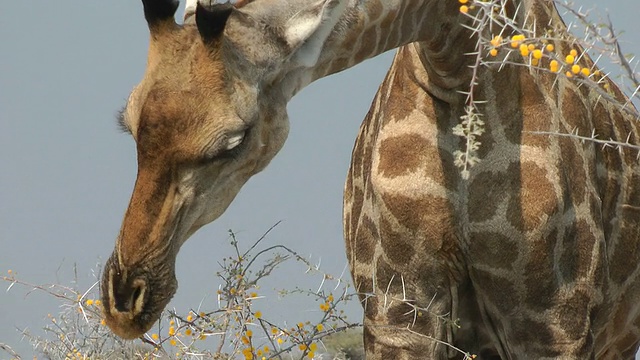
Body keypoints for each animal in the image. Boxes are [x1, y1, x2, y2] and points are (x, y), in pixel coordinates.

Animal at [97, 0, 640, 358]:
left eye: (233, 141)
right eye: (128, 122)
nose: (125, 297)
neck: (457, 64)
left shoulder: (550, 321)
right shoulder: (399, 311)